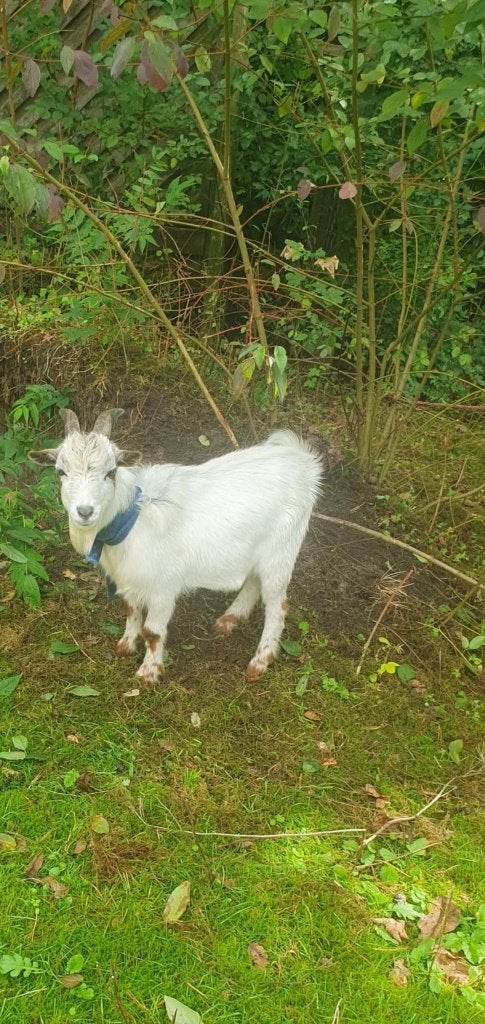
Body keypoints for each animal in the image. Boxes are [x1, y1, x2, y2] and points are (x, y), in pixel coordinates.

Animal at [30, 409, 322, 683]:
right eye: (60, 471)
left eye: (110, 472)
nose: (85, 511)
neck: (132, 519)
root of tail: (302, 462)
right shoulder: (129, 579)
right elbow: (131, 611)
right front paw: (126, 645)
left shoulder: (162, 587)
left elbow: (153, 631)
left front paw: (148, 673)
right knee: (252, 580)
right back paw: (229, 619)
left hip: (281, 550)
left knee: (277, 606)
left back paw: (260, 661)